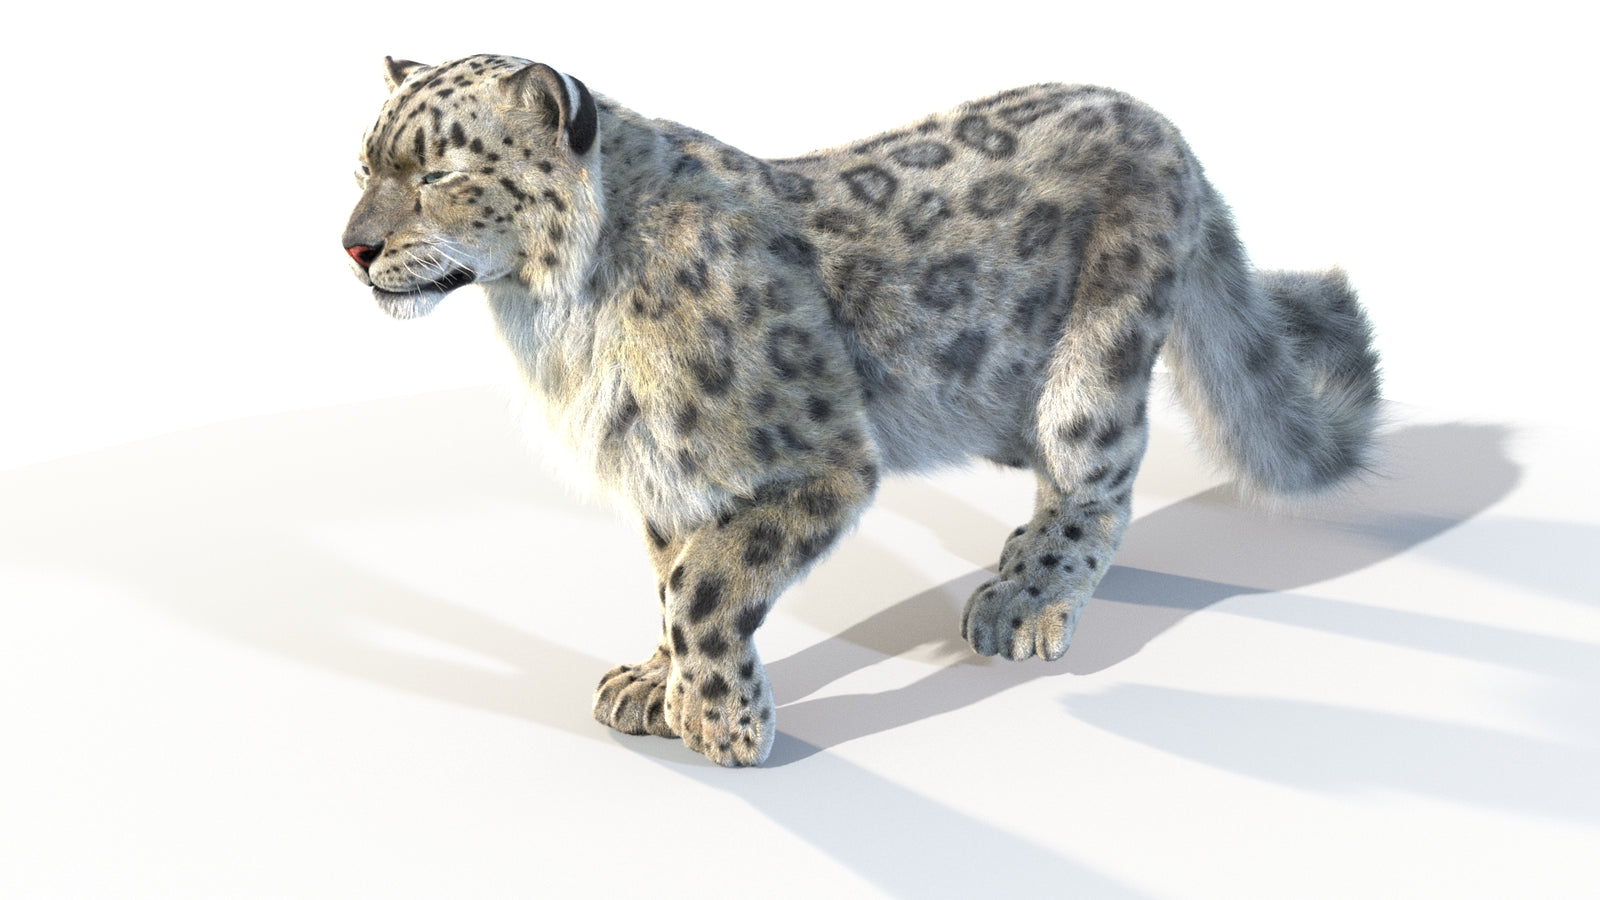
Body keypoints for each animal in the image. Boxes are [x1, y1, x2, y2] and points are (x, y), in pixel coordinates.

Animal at [342, 54, 1381, 767]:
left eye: (439, 174)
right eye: (362, 165)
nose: (354, 246)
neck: (553, 322)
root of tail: (1163, 123)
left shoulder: (818, 458)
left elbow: (703, 583)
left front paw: (723, 725)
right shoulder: (664, 470)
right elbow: (671, 575)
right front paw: (655, 685)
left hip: (1094, 362)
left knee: (1098, 479)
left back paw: (1026, 597)